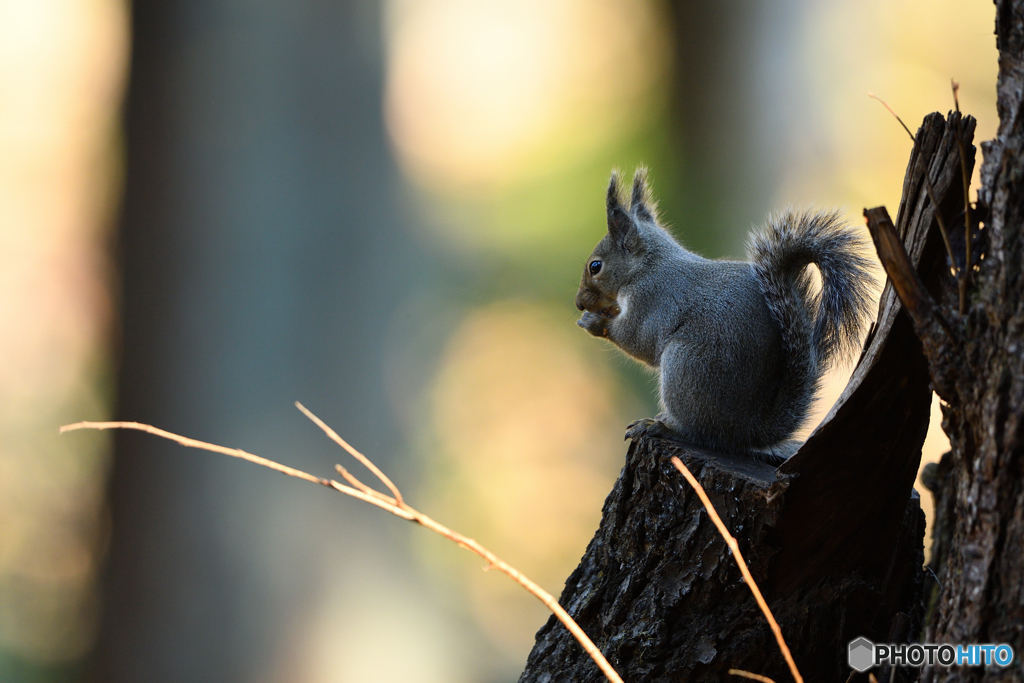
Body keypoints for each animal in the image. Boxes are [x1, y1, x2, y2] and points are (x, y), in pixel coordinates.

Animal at [577, 168, 872, 464]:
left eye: (595, 266)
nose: (579, 303)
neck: (648, 265)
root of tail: (745, 432)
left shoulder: (651, 299)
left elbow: (638, 340)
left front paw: (595, 322)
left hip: (686, 367)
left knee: (700, 433)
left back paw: (661, 426)